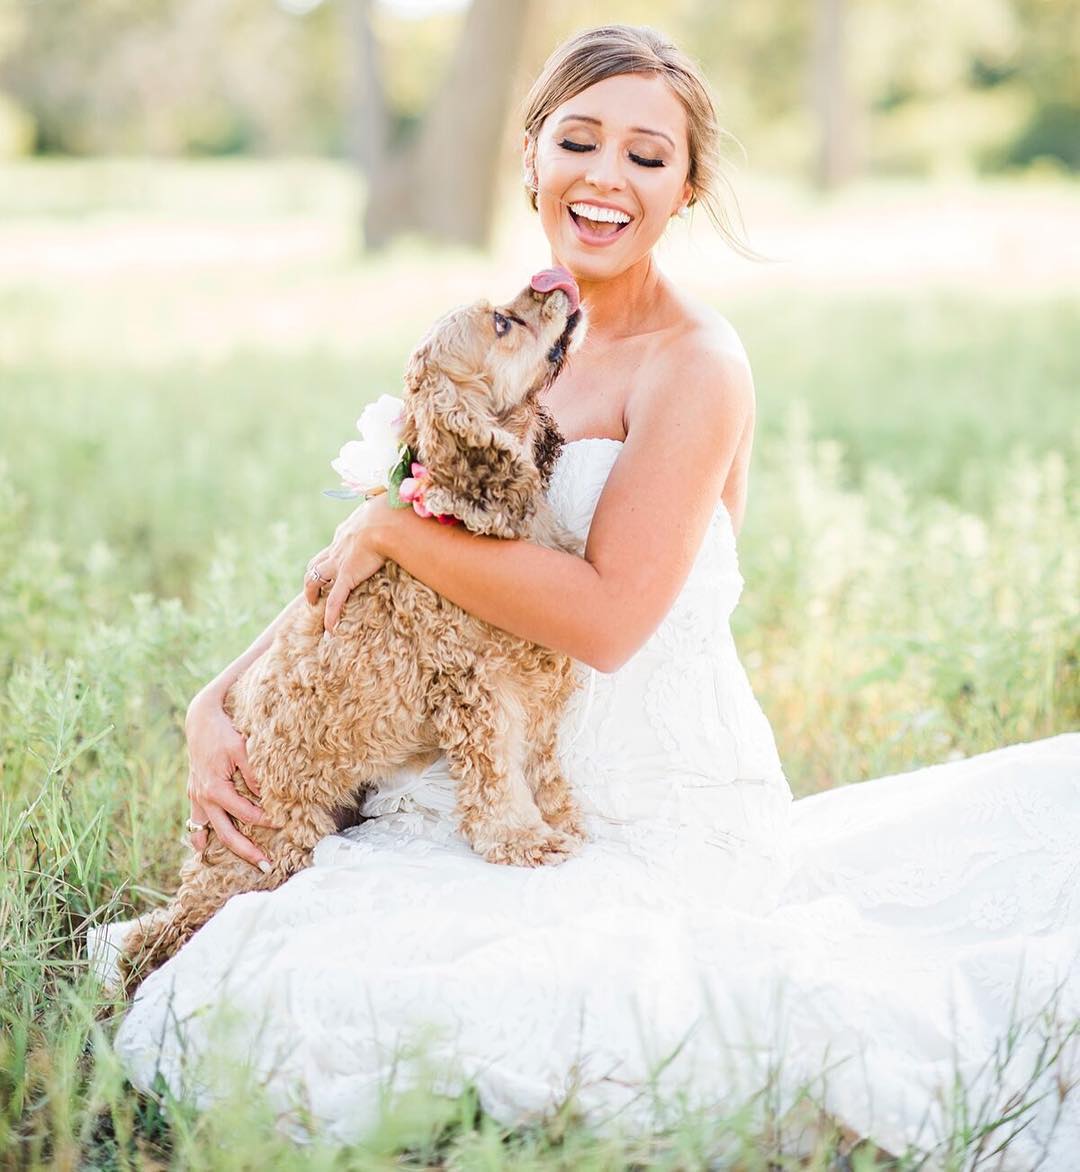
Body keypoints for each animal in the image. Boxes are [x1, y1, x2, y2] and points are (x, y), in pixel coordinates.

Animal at [115, 271, 590, 998]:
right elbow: (499, 779)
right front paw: (523, 841)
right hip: (266, 848)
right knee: (168, 930)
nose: (555, 281)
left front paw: (561, 821)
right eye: (502, 325)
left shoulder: (536, 684)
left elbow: (542, 767)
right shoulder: (477, 690)